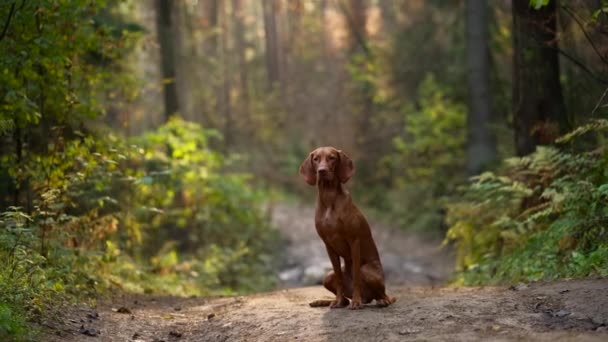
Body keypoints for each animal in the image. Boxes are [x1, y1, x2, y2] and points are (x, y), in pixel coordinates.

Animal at [298, 147, 394, 310]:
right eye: (316, 159)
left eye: (332, 158)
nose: (322, 171)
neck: (329, 197)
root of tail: (367, 297)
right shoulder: (328, 245)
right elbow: (338, 277)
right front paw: (337, 301)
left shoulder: (354, 241)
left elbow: (355, 276)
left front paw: (356, 302)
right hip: (327, 277)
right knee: (343, 296)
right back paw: (328, 301)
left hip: (368, 271)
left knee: (382, 294)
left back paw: (379, 301)